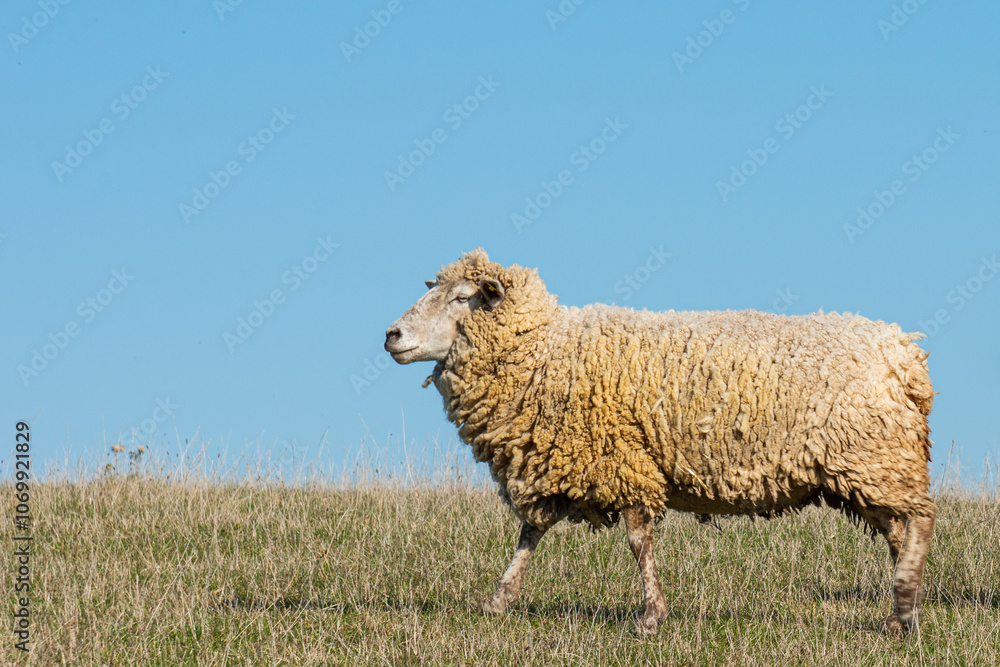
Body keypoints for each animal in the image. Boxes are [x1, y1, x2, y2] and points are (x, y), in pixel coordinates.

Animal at [384, 248, 936, 634]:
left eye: (462, 298)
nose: (391, 335)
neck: (542, 349)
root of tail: (904, 352)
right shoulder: (557, 460)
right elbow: (529, 534)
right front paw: (498, 601)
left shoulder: (619, 457)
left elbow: (637, 540)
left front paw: (650, 616)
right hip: (868, 466)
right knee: (898, 530)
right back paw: (901, 607)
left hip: (874, 453)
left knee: (922, 518)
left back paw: (905, 607)